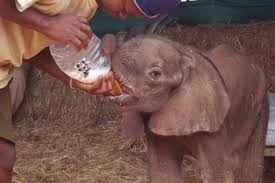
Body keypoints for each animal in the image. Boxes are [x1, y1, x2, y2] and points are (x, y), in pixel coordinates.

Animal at [106, 34, 268, 183]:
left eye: (155, 74)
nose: (109, 41)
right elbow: (164, 169)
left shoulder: (215, 123)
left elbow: (215, 174)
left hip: (260, 100)